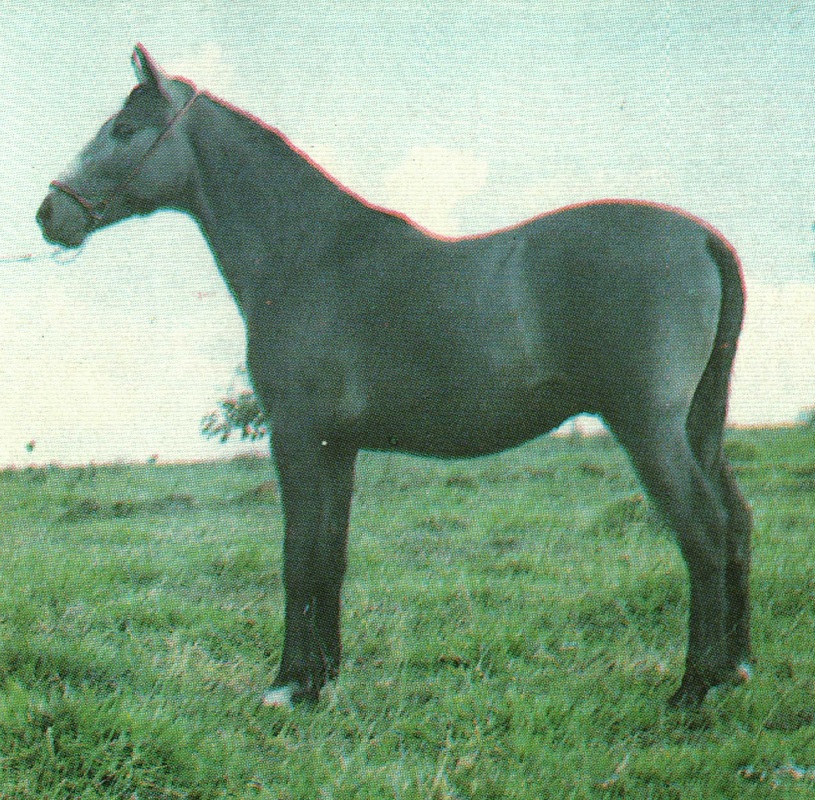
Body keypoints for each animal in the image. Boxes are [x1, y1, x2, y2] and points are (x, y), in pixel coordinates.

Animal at [36, 45, 752, 708]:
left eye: (123, 130)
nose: (49, 215)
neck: (311, 254)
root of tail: (702, 238)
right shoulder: (337, 446)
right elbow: (330, 554)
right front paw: (322, 678)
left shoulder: (298, 437)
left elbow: (298, 554)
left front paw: (287, 684)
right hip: (698, 426)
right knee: (738, 521)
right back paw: (736, 668)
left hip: (648, 427)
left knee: (703, 529)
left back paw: (694, 686)